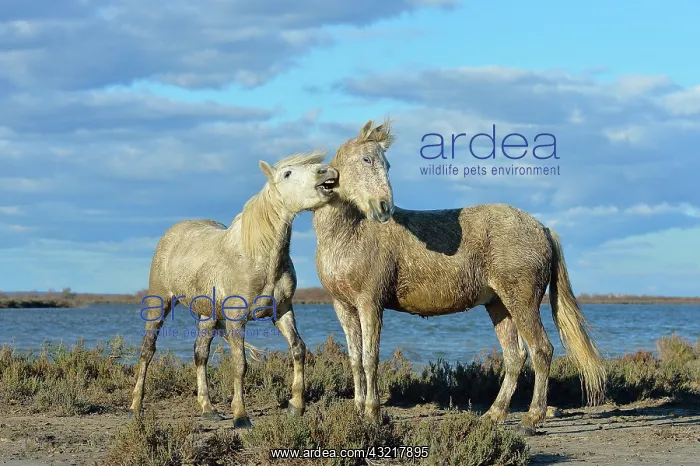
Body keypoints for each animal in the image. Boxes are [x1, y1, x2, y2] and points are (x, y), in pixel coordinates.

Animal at [129, 151, 339, 428]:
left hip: (207, 315)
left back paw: (208, 408)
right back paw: (135, 406)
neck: (258, 257)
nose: (328, 173)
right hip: (160, 303)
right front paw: (240, 416)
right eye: (287, 173)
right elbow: (240, 364)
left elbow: (298, 349)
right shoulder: (236, 318)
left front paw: (296, 405)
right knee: (147, 351)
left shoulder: (283, 311)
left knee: (200, 354)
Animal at [312, 119, 606, 435]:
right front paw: (357, 410)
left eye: (386, 163)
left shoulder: (370, 304)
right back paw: (493, 414)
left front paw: (372, 413)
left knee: (541, 350)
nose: (384, 207)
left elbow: (370, 359)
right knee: (515, 357)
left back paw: (530, 419)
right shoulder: (343, 306)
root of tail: (543, 228)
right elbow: (355, 359)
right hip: (499, 306)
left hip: (522, 303)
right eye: (366, 159)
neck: (350, 234)